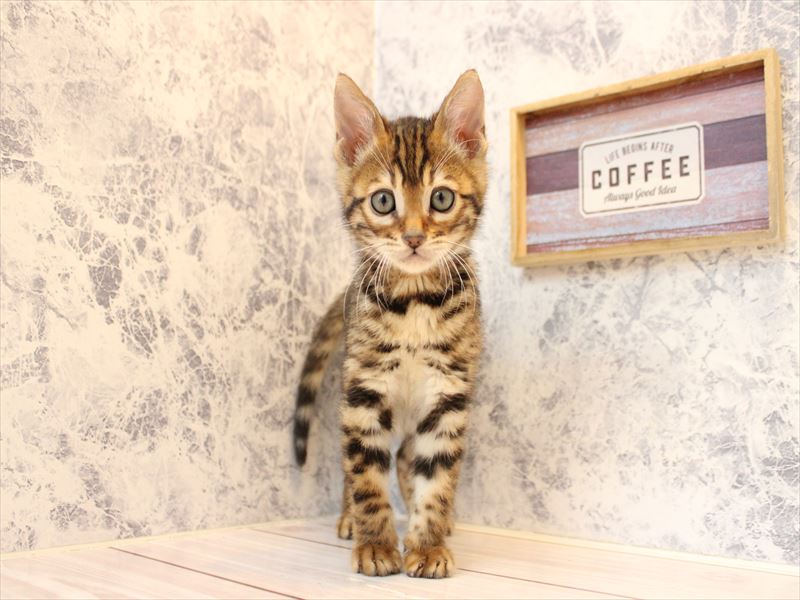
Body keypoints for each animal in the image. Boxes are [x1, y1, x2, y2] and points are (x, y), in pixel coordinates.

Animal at [293, 70, 487, 579]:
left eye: (441, 198)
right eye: (383, 201)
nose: (415, 237)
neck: (415, 300)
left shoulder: (448, 393)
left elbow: (437, 474)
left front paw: (428, 544)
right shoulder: (363, 389)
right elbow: (365, 473)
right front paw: (377, 544)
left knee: (406, 454)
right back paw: (348, 519)